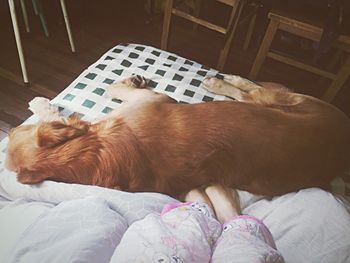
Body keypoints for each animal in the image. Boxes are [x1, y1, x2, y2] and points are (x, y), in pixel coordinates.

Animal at [4, 75, 350, 198]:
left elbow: (114, 88)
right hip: (279, 102)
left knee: (252, 90)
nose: (11, 129)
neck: (93, 151)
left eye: (19, 130)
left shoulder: (153, 99)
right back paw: (220, 81)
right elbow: (114, 89)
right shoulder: (154, 99)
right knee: (249, 91)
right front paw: (41, 104)